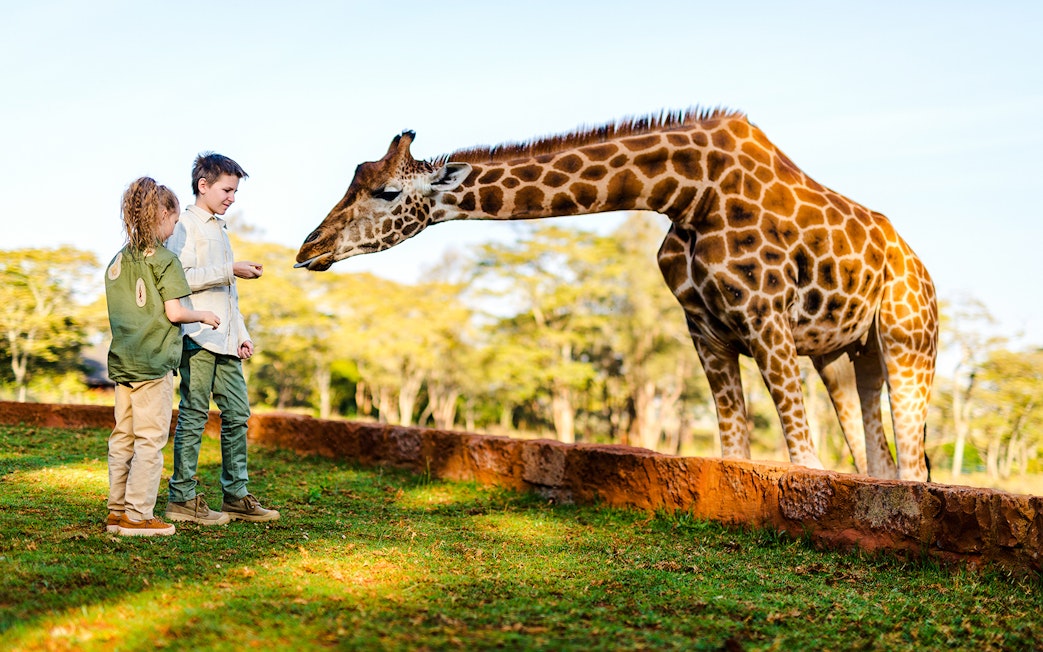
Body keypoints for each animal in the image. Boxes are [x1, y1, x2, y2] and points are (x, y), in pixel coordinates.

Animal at [296, 108, 938, 481]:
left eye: (386, 191)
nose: (308, 248)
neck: (684, 194)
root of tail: (923, 273)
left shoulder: (766, 317)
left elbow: (803, 461)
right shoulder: (706, 329)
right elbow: (736, 454)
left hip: (909, 343)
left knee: (909, 466)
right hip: (843, 353)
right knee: (879, 462)